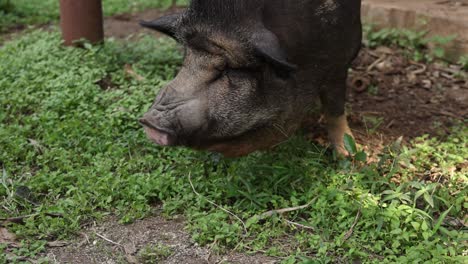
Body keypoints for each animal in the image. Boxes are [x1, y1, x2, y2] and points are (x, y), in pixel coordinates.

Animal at [139, 0, 362, 157]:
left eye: (229, 70)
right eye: (186, 58)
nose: (149, 121)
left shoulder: (341, 57)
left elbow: (335, 108)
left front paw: (348, 154)